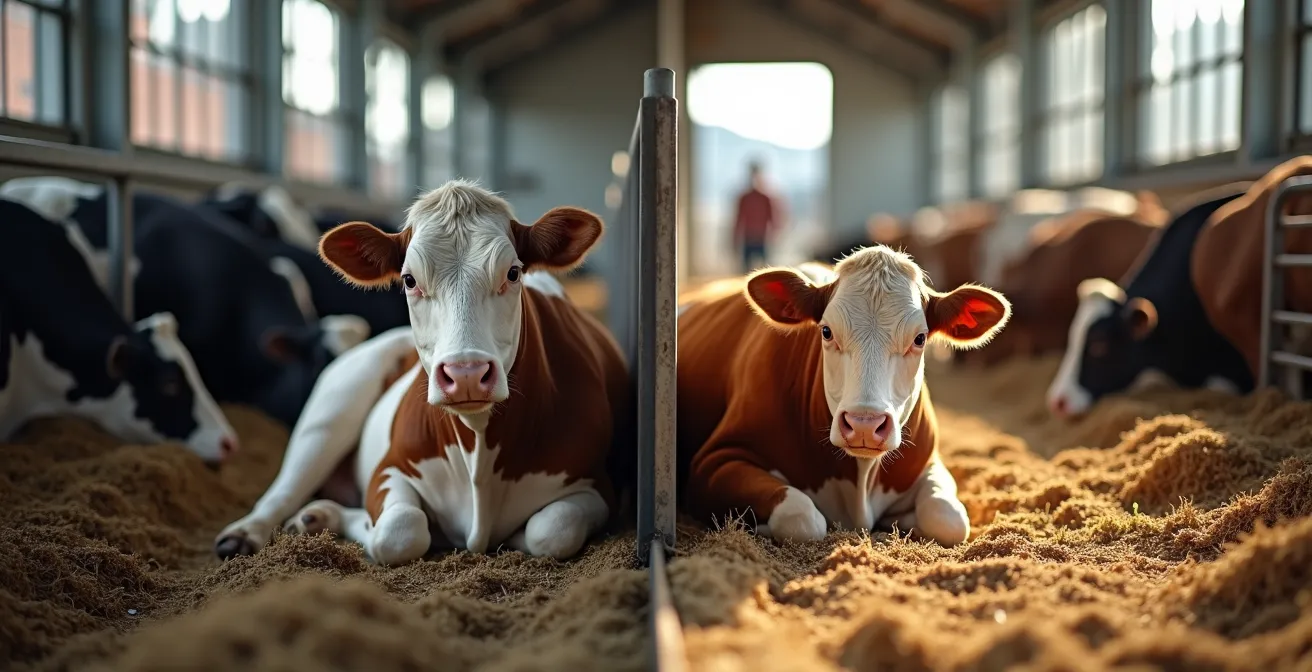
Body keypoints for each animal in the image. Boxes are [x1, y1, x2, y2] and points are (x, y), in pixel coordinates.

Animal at [214, 181, 630, 565]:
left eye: (513, 273)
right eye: (409, 280)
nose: (466, 372)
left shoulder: (597, 485)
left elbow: (551, 531)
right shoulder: (390, 468)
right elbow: (400, 532)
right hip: (332, 407)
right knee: (286, 488)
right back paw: (247, 533)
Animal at [674, 246, 1011, 545]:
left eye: (919, 338)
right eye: (826, 331)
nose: (864, 424)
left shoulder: (929, 462)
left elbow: (949, 519)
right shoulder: (715, 460)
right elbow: (803, 518)